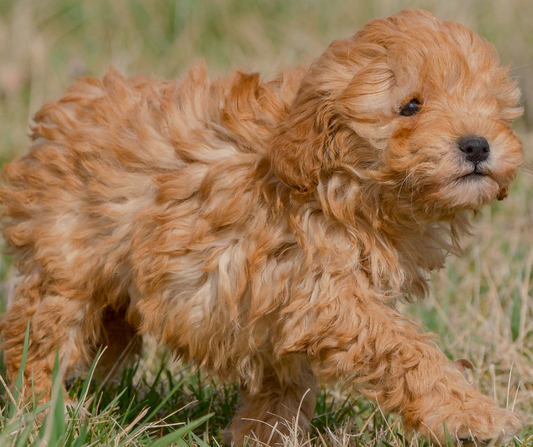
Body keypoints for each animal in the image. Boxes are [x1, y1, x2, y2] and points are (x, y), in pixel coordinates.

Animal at [0, 7, 524, 447]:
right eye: (411, 106)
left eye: (492, 107)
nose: (476, 144)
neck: (339, 182)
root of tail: (60, 116)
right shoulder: (323, 294)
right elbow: (403, 349)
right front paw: (473, 414)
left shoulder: (283, 307)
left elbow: (285, 383)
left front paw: (264, 434)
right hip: (65, 264)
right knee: (38, 339)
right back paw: (46, 413)